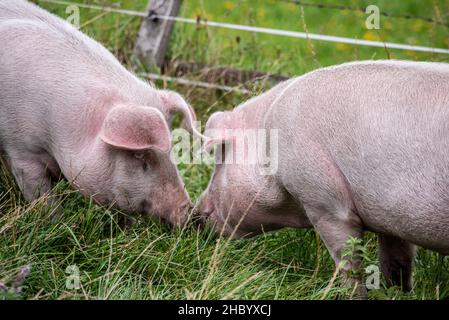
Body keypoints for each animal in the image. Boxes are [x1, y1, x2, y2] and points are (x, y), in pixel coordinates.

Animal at [0, 0, 200, 225]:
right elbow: (42, 197)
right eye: (139, 155)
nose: (188, 212)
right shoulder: (22, 150)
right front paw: (59, 223)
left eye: (173, 150)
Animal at [196, 60, 448, 296]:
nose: (195, 214)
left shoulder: (325, 203)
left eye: (220, 157)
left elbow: (349, 265)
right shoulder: (390, 220)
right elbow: (396, 264)